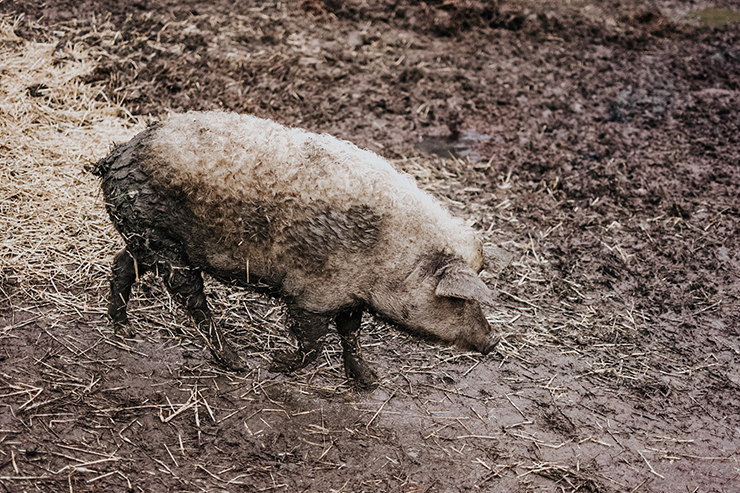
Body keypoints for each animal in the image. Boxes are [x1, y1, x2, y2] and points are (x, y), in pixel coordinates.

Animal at [92, 111, 498, 388]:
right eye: (458, 300)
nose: (494, 340)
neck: (393, 257)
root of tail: (114, 157)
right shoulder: (312, 291)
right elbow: (314, 342)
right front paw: (275, 364)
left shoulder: (348, 295)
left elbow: (351, 335)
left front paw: (369, 381)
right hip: (163, 241)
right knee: (191, 299)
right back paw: (236, 363)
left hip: (147, 236)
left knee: (122, 264)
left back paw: (124, 330)